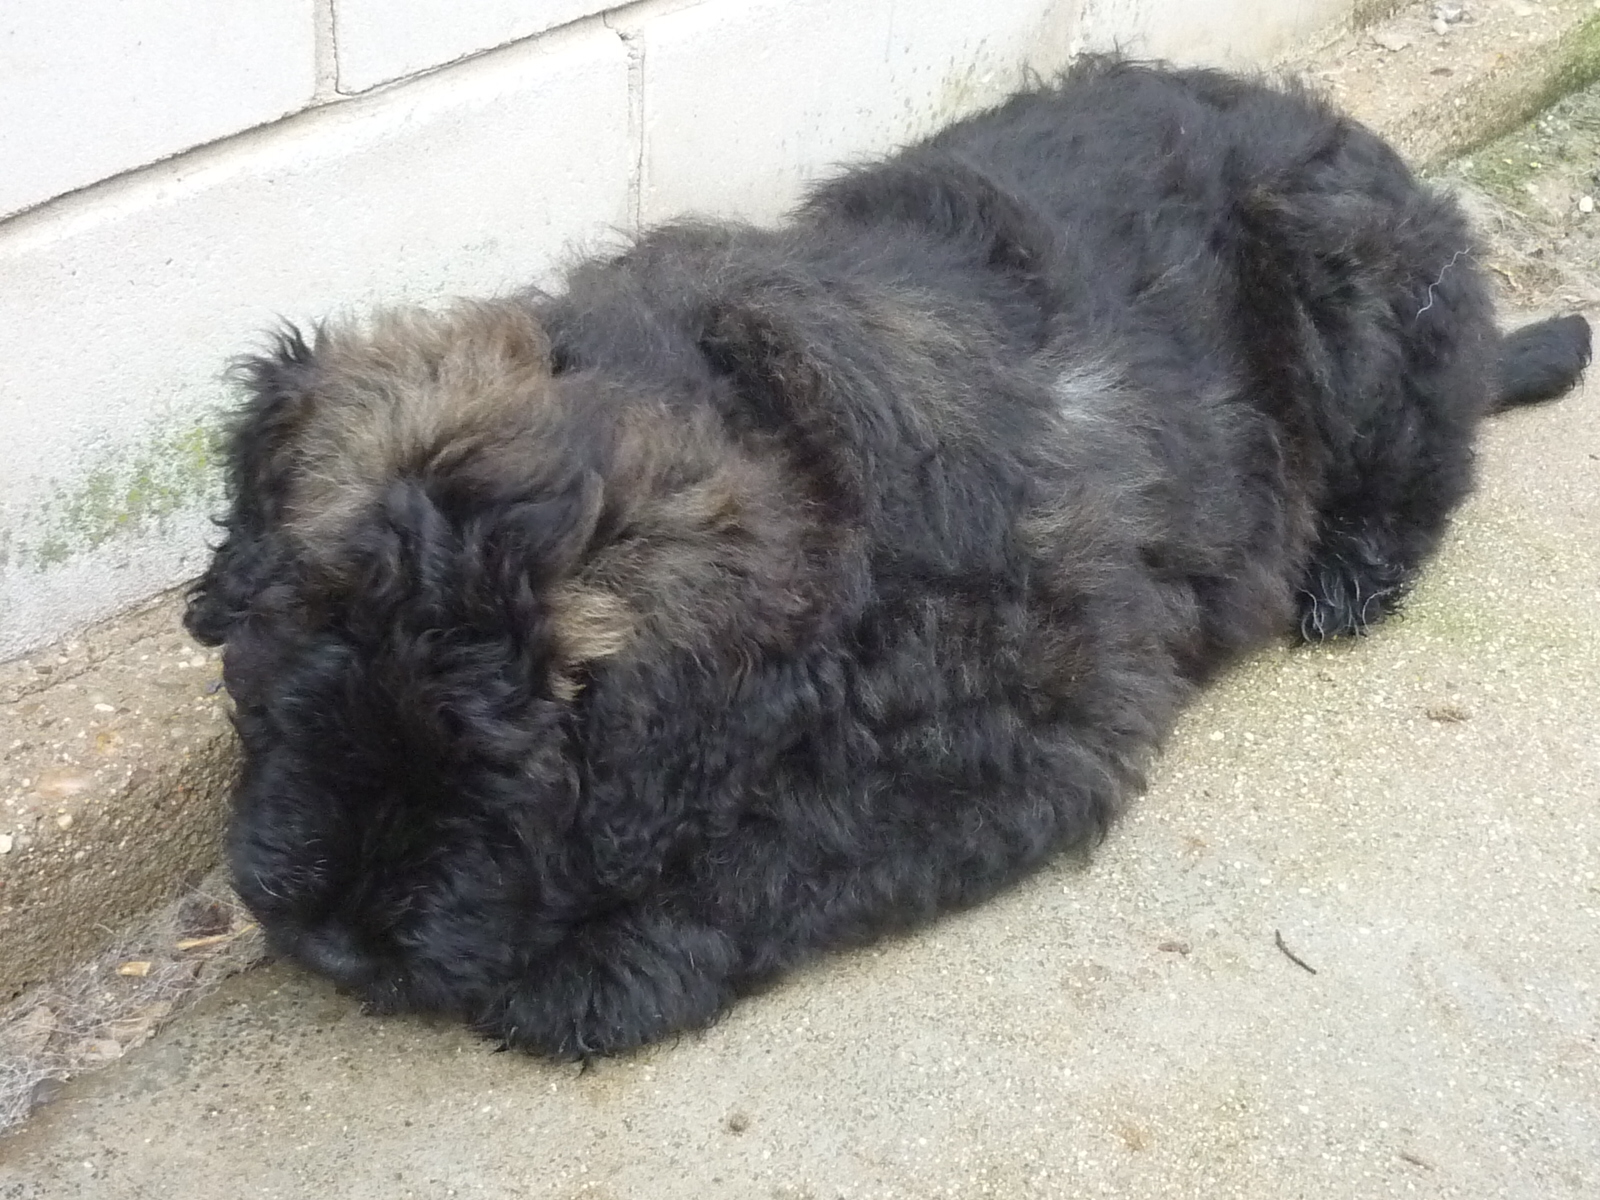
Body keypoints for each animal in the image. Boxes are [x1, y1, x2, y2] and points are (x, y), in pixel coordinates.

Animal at [185, 57, 1590, 1059]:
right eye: (273, 700)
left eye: (504, 785)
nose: (335, 946)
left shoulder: (1038, 729)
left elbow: (799, 843)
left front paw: (612, 965)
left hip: (1346, 282)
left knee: (1434, 451)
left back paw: (1353, 569)